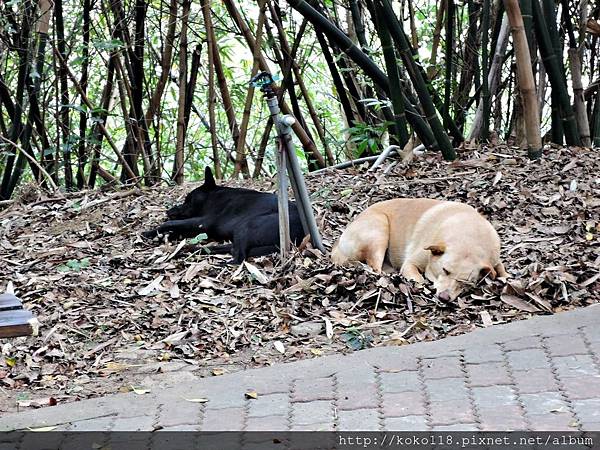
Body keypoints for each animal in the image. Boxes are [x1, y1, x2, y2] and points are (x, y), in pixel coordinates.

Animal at [144, 167, 308, 262]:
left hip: (246, 225)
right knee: (228, 249)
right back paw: (188, 250)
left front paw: (148, 233)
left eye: (188, 200)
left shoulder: (203, 222)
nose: (168, 211)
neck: (212, 196)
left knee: (239, 256)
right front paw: (162, 236)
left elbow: (169, 223)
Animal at [330, 199, 508, 300]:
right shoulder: (411, 263)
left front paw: (506, 277)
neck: (469, 234)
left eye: (465, 282)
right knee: (374, 267)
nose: (444, 298)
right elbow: (419, 279)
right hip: (379, 228)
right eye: (445, 270)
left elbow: (500, 268)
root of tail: (337, 244)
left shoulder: (494, 259)